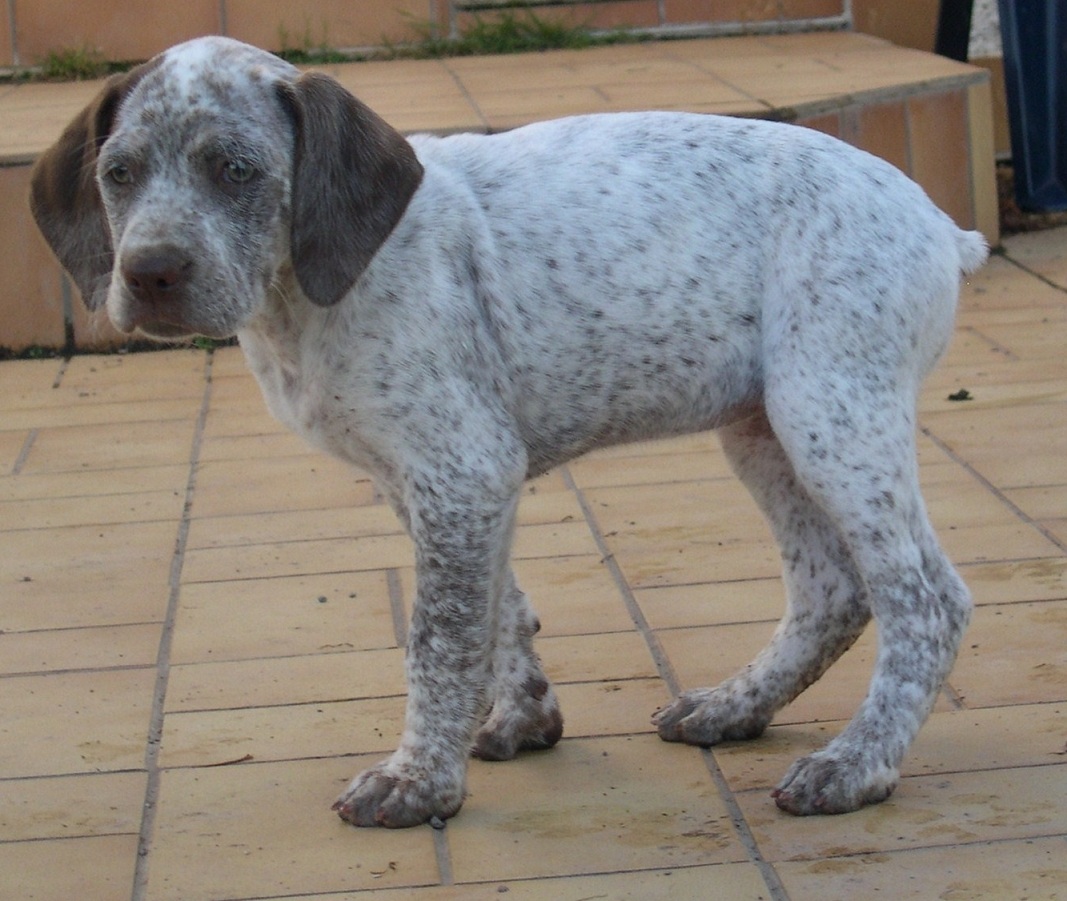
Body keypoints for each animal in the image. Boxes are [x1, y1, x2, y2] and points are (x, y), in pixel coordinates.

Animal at [31, 36, 988, 828]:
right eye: (119, 173)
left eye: (234, 169)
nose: (149, 273)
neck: (309, 288)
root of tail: (941, 225)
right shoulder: (430, 481)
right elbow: (498, 609)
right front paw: (523, 717)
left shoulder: (461, 469)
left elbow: (440, 637)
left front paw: (417, 780)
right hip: (762, 428)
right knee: (831, 589)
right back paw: (735, 705)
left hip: (831, 410)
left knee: (924, 599)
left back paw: (856, 764)